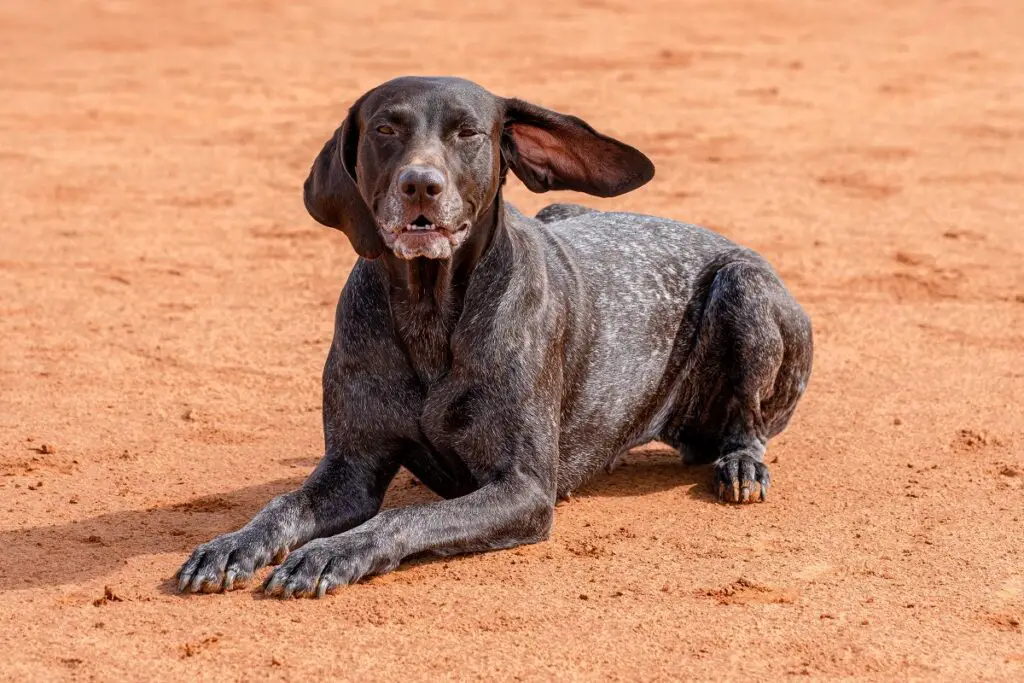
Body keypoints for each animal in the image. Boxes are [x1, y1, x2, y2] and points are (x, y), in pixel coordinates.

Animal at [178, 76, 815, 598]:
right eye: (385, 129)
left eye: (468, 133)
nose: (421, 186)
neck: (430, 313)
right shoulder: (350, 470)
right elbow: (280, 505)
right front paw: (231, 544)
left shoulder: (523, 489)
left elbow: (401, 518)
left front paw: (330, 553)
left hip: (745, 287)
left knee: (749, 426)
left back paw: (742, 465)